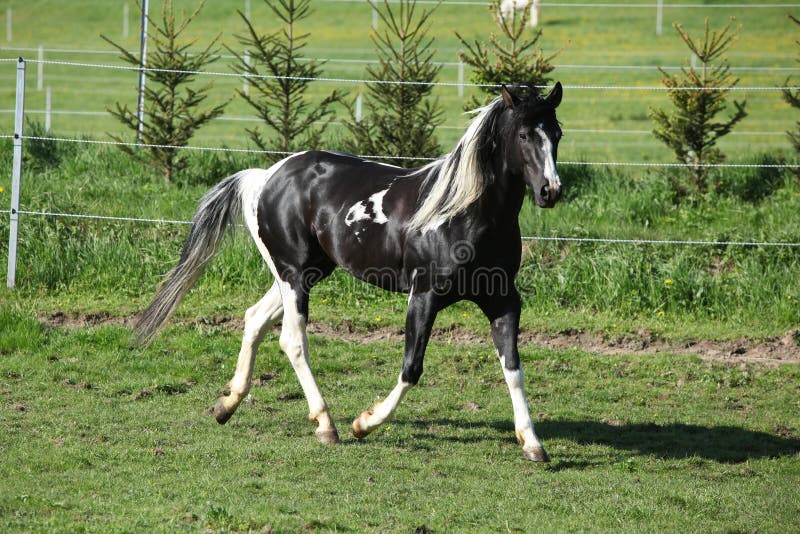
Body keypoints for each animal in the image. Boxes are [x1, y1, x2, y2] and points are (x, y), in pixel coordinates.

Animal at [134, 83, 564, 462]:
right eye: (524, 134)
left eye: (556, 133)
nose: (550, 191)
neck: (463, 213)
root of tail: (266, 177)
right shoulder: (423, 297)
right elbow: (411, 368)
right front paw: (364, 423)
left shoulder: (502, 300)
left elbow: (513, 367)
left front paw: (533, 444)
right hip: (293, 276)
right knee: (292, 340)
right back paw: (326, 425)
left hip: (305, 273)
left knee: (254, 318)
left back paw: (227, 405)